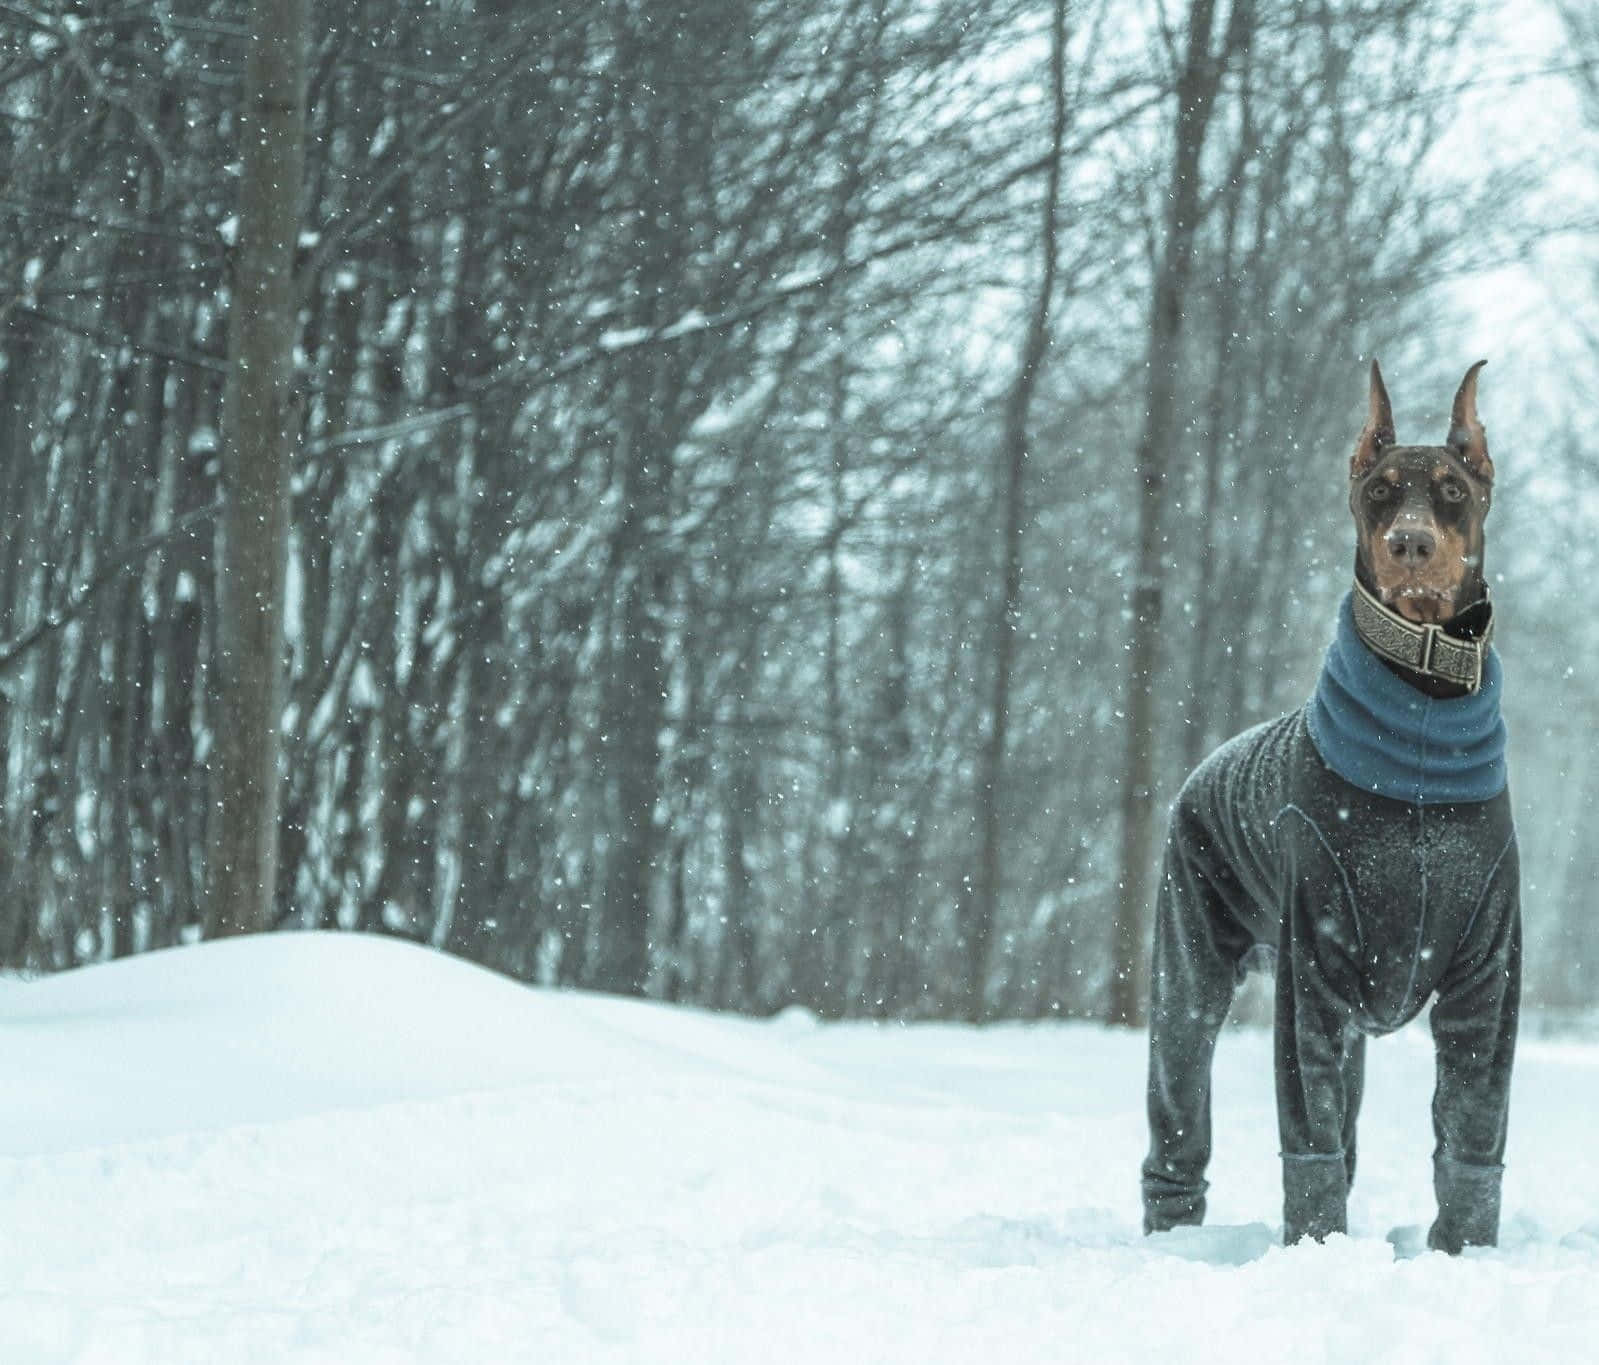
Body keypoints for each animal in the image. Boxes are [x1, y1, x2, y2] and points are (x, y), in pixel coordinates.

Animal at [1144, 361, 1515, 1253]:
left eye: (1451, 489)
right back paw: (1172, 1237)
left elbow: (1470, 1129)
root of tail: (1199, 767)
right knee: (1180, 1091)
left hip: (1349, 1019)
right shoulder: (1311, 955)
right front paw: (1312, 1247)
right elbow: (1304, 1129)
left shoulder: (1488, 963)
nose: (1408, 543)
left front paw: (1461, 1252)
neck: (1421, 707)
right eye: (1378, 490)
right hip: (1191, 962)